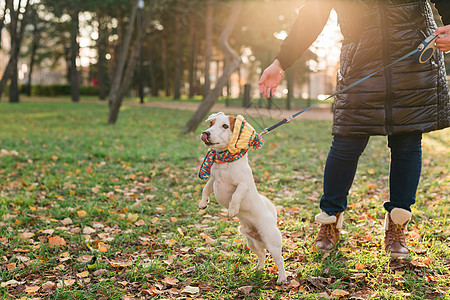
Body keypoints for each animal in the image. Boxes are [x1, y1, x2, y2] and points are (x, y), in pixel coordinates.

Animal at [199, 112, 286, 284]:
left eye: (225, 126)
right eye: (211, 123)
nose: (206, 133)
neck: (225, 161)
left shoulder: (243, 184)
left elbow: (236, 195)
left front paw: (232, 210)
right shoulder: (213, 180)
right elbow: (206, 189)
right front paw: (203, 203)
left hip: (271, 241)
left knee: (279, 259)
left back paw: (282, 278)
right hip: (251, 242)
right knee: (262, 255)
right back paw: (258, 270)